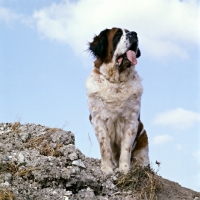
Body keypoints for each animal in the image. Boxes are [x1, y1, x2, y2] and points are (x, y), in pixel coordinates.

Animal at [85, 27, 149, 173]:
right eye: (118, 35)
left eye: (130, 31)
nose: (134, 34)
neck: (116, 82)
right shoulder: (98, 119)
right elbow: (105, 147)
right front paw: (107, 168)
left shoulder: (131, 120)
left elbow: (126, 148)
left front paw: (124, 170)